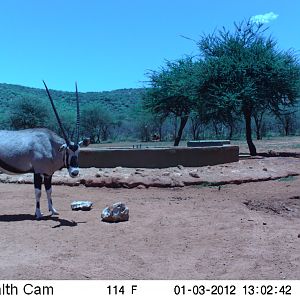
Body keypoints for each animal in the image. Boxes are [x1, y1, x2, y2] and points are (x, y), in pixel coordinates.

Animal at [0, 81, 89, 218]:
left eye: (78, 151)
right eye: (66, 150)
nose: (74, 172)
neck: (50, 145)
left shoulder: (48, 174)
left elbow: (49, 190)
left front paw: (53, 210)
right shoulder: (37, 172)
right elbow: (38, 192)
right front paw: (38, 213)